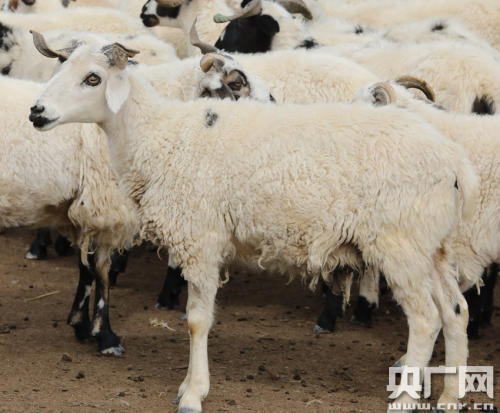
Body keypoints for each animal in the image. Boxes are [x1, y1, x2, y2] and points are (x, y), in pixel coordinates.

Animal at [31, 35, 480, 413]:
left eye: (93, 78)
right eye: (59, 69)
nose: (37, 112)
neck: (159, 135)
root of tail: (455, 162)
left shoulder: (201, 238)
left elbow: (196, 320)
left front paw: (193, 393)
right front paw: (188, 387)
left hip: (399, 243)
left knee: (426, 319)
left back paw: (404, 399)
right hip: (432, 245)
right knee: (456, 311)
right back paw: (450, 397)